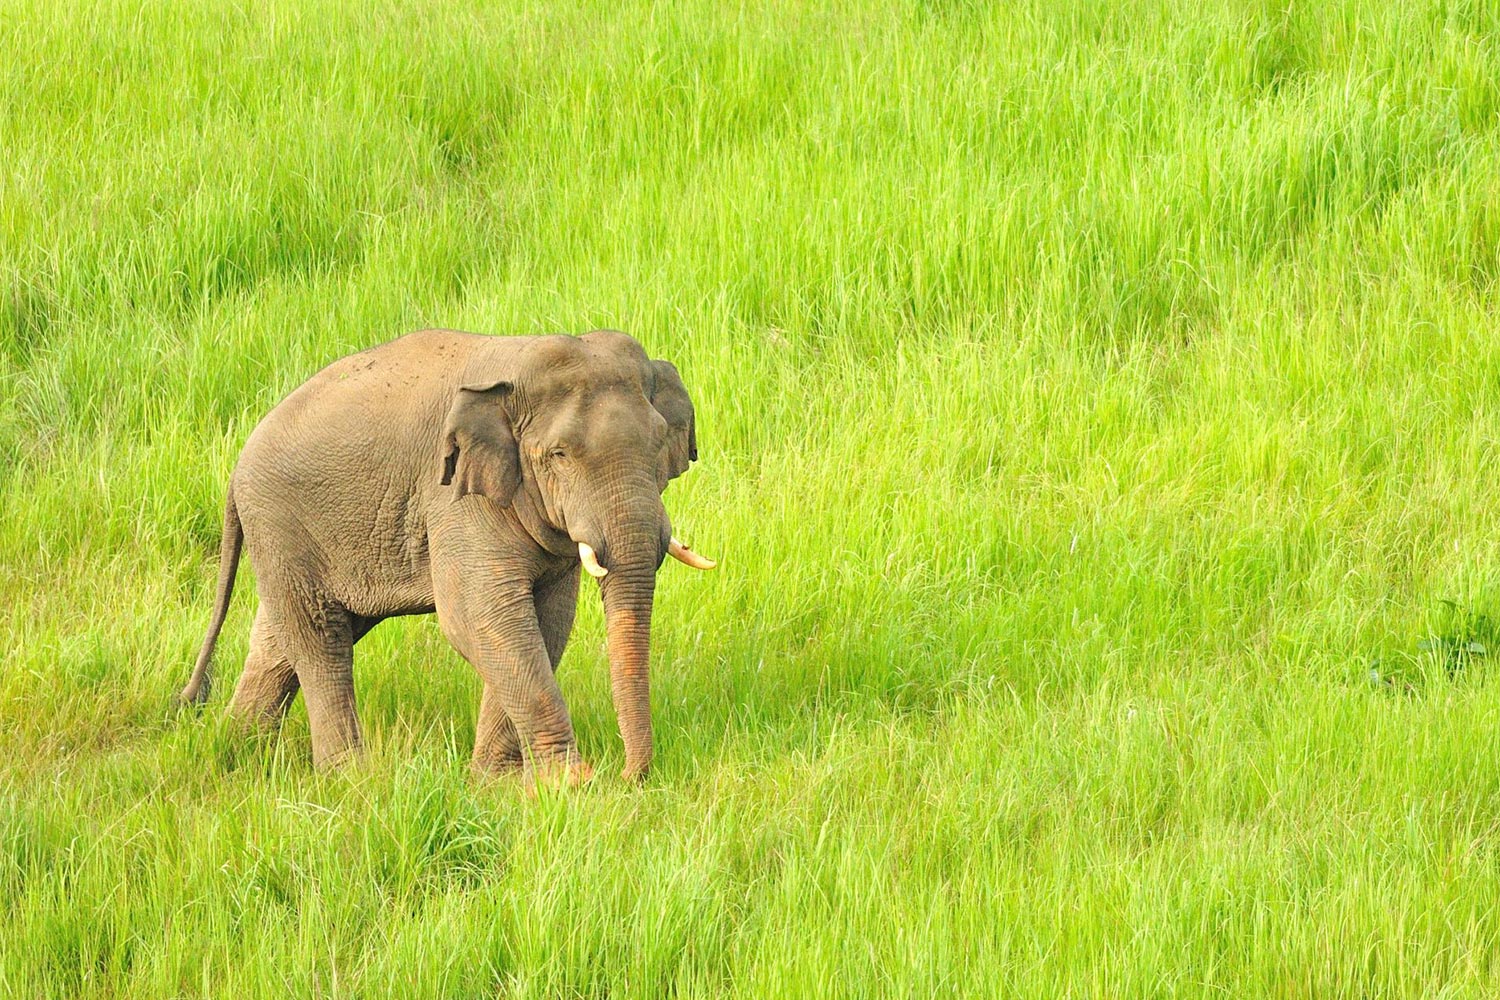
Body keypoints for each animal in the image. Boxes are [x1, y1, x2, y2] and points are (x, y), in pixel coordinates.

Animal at [178, 328, 715, 784]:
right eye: (558, 455)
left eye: (659, 443)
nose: (626, 776)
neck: (518, 362)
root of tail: (237, 465)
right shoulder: (455, 496)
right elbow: (483, 618)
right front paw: (566, 784)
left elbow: (547, 620)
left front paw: (497, 784)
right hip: (280, 520)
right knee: (320, 638)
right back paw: (349, 778)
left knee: (280, 640)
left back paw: (234, 748)